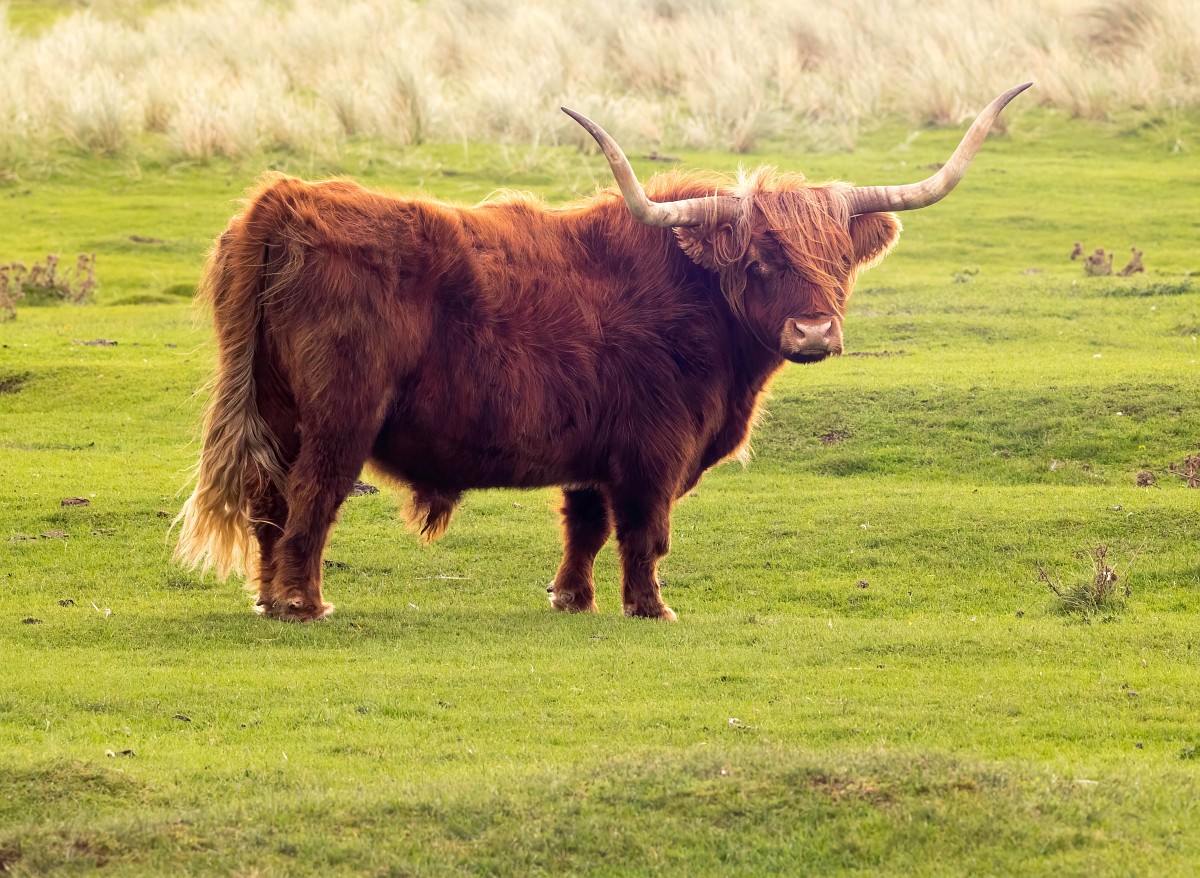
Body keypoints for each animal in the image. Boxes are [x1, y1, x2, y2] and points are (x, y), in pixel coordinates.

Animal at [174, 83, 1031, 622]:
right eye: (761, 261)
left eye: (841, 263)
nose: (815, 333)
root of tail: (289, 197)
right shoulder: (656, 448)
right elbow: (645, 531)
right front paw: (652, 608)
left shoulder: (596, 448)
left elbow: (583, 525)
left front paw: (571, 599)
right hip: (339, 416)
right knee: (310, 500)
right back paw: (302, 605)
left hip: (275, 409)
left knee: (268, 501)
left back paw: (268, 598)